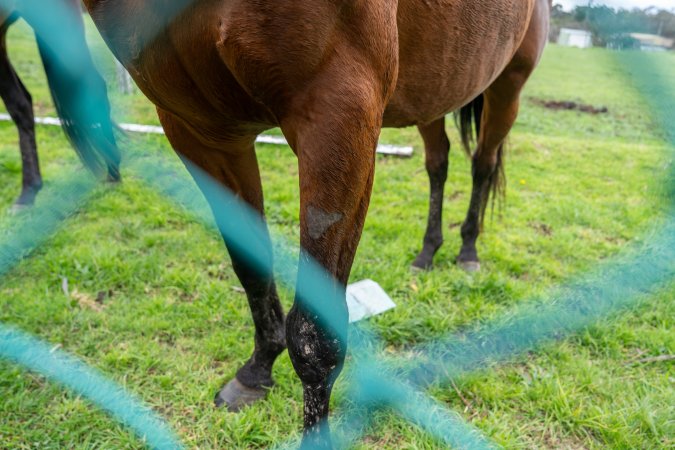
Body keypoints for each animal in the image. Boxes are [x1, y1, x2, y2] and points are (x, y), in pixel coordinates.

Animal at [81, 0, 550, 447]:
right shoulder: (202, 132)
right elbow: (252, 271)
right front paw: (256, 371)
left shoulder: (338, 115)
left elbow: (313, 334)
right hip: (434, 92)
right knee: (439, 163)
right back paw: (428, 251)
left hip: (506, 88)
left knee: (483, 164)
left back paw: (467, 249)